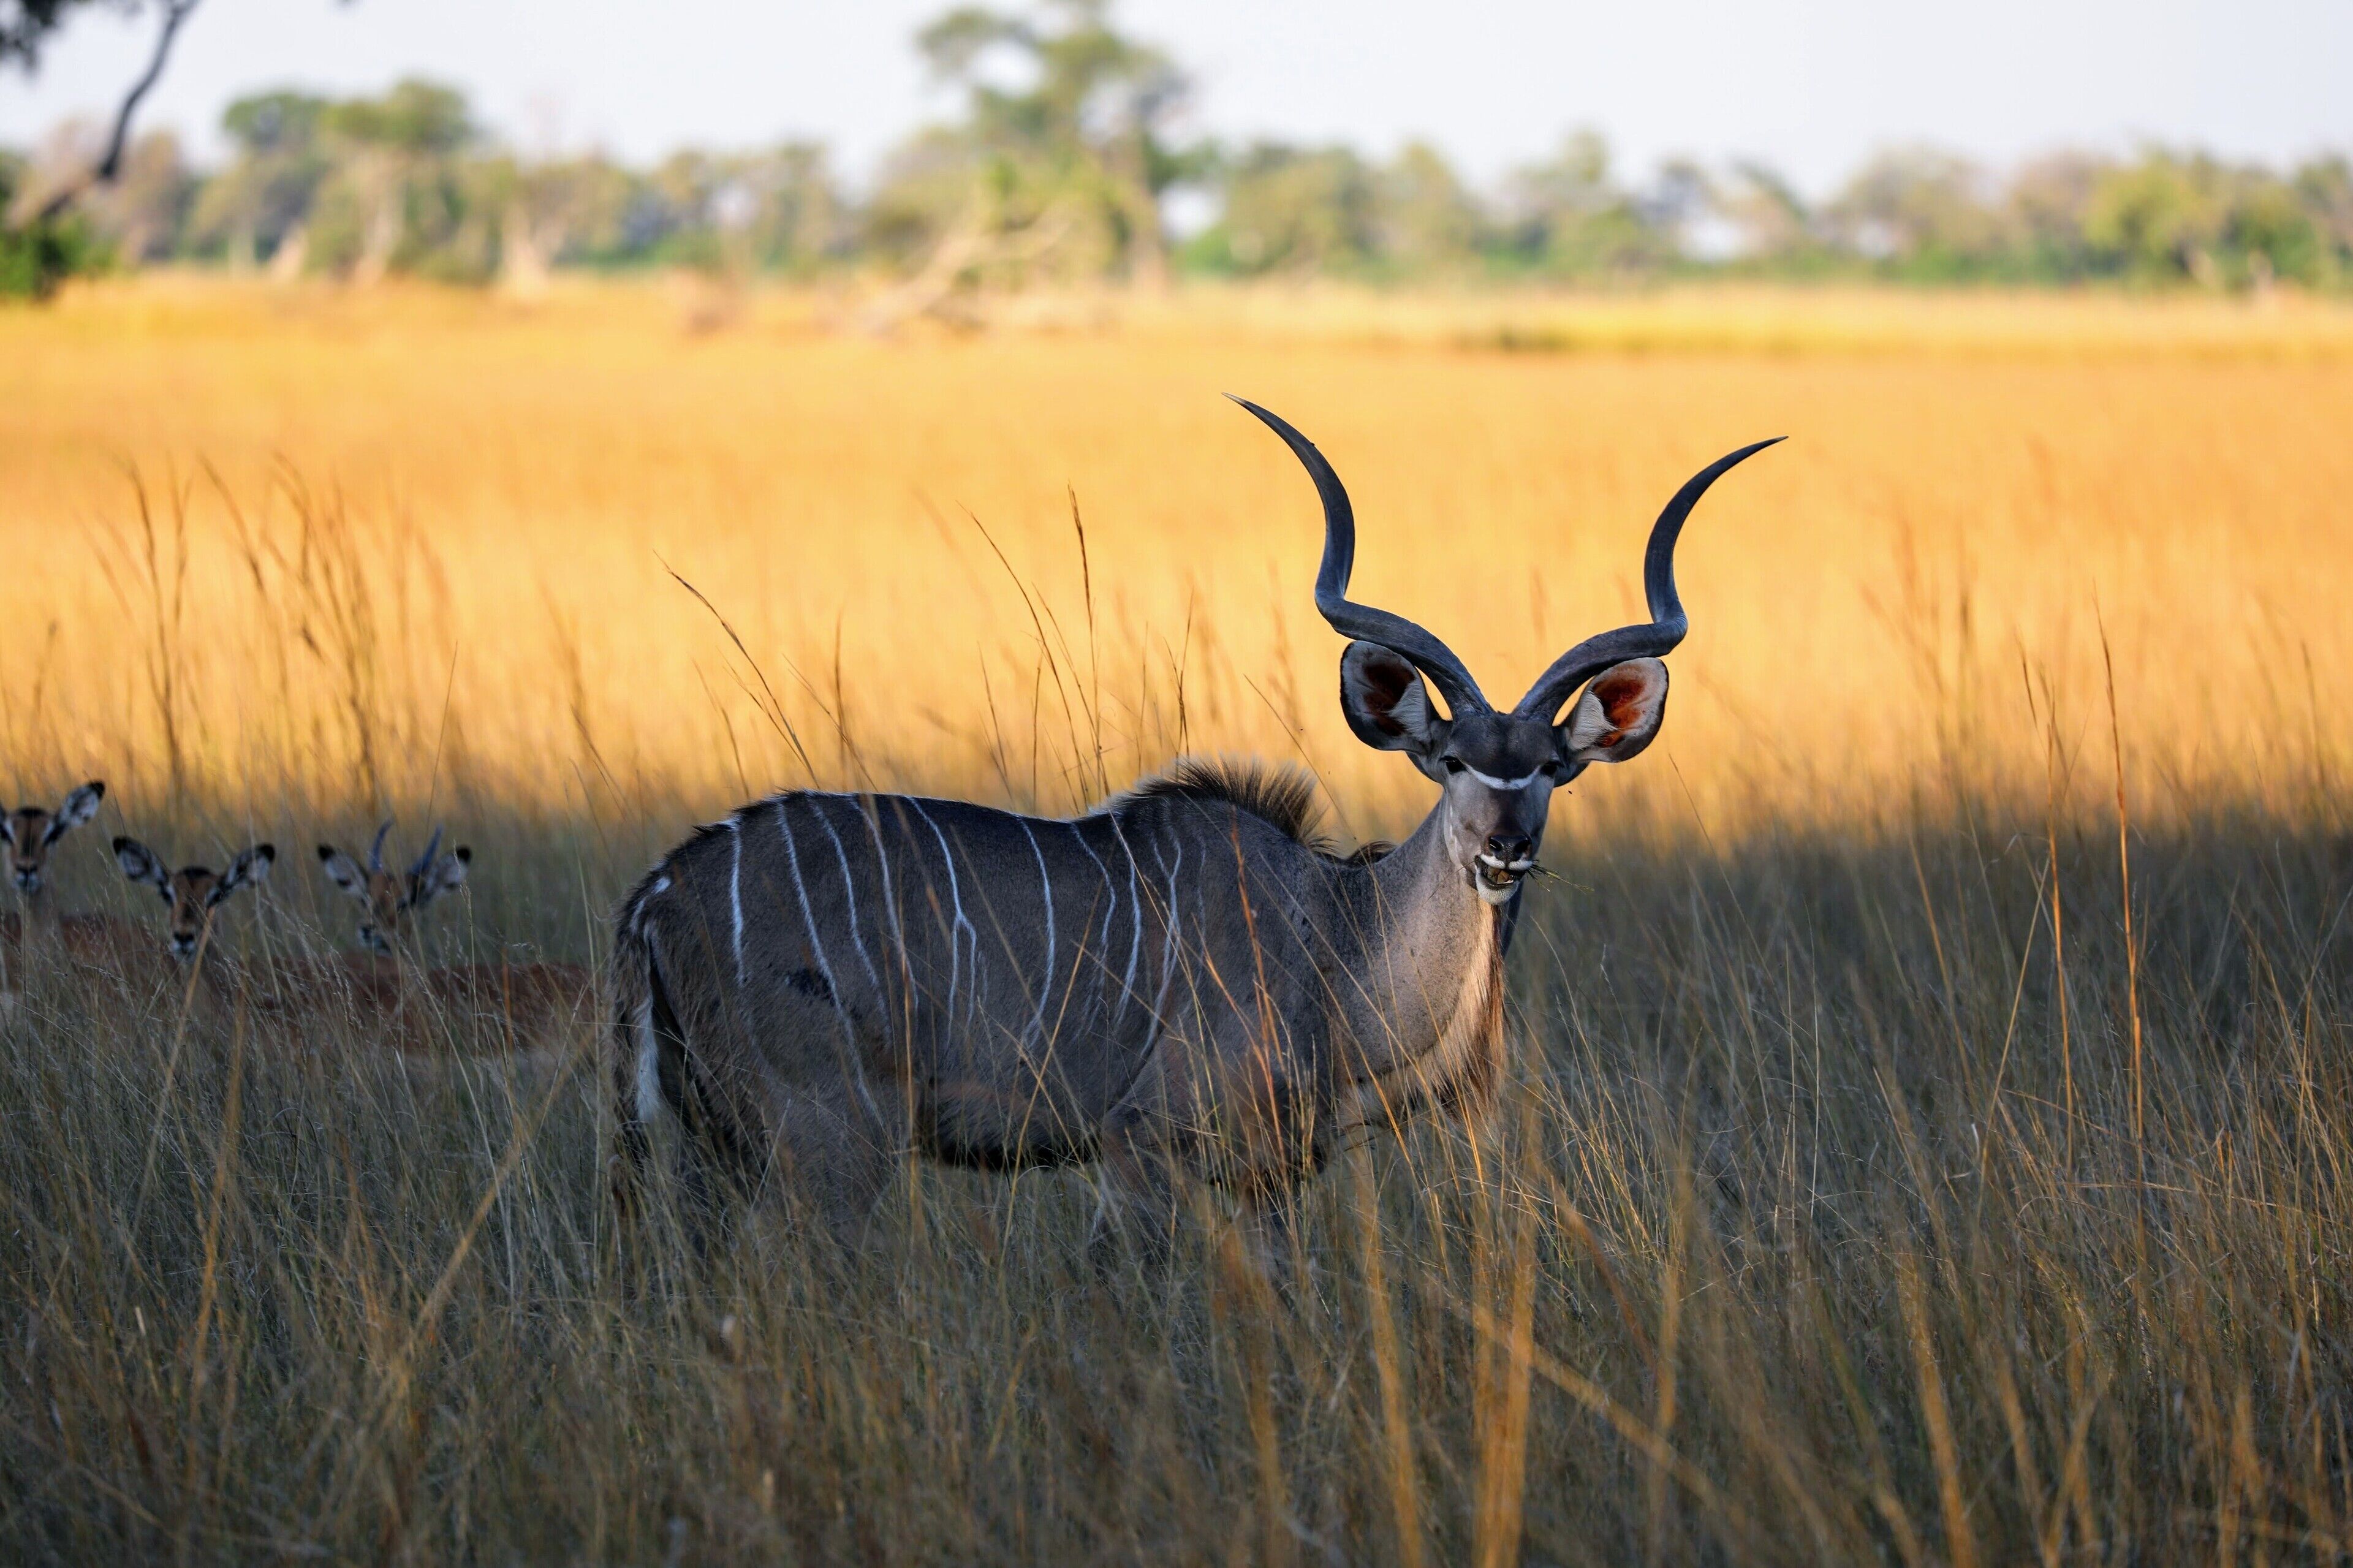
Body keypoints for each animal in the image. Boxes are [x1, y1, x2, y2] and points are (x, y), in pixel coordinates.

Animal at [608, 400, 1777, 1253]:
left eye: (1549, 771)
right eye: (1452, 762)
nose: (1504, 847)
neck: (1330, 941)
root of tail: (660, 892)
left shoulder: (1269, 1182)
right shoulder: (1142, 1157)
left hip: (722, 1152)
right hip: (830, 1147)